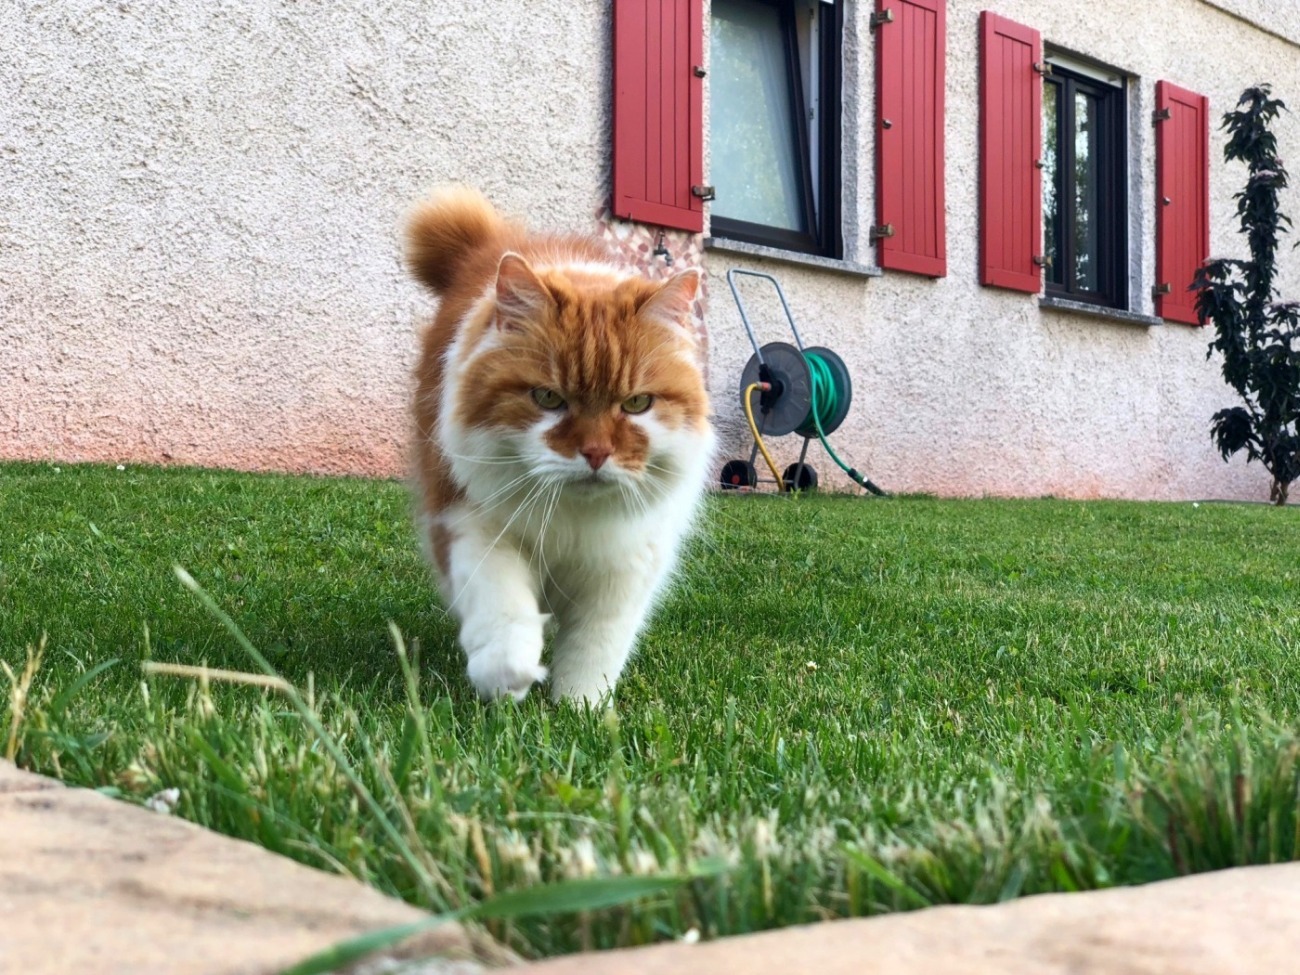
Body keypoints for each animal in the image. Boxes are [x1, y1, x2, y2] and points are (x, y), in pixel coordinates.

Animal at [403, 187, 712, 707]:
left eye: (637, 403)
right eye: (548, 398)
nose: (595, 454)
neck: (572, 520)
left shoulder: (624, 566)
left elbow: (594, 650)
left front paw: (578, 709)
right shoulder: (470, 521)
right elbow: (504, 610)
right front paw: (508, 677)